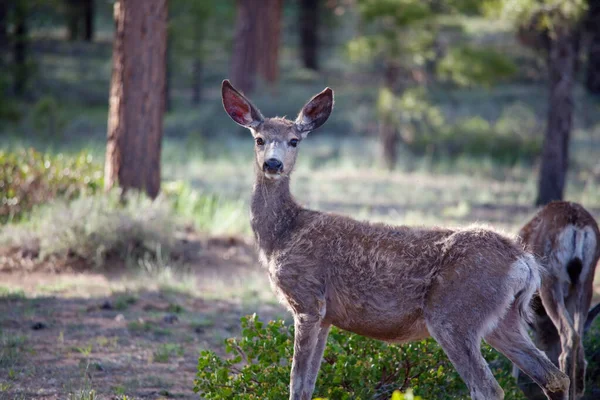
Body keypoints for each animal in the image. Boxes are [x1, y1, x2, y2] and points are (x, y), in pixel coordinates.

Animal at [219, 79, 568, 400]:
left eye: (294, 141)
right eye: (260, 139)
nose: (272, 164)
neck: (283, 234)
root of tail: (524, 261)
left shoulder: (307, 300)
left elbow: (296, 385)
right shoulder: (326, 316)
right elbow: (309, 385)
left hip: (455, 315)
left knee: (488, 389)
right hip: (502, 319)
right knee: (554, 376)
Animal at [516, 203, 600, 400]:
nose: (524, 387)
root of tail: (577, 227)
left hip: (551, 278)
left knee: (568, 335)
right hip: (586, 280)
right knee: (578, 336)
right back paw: (577, 390)